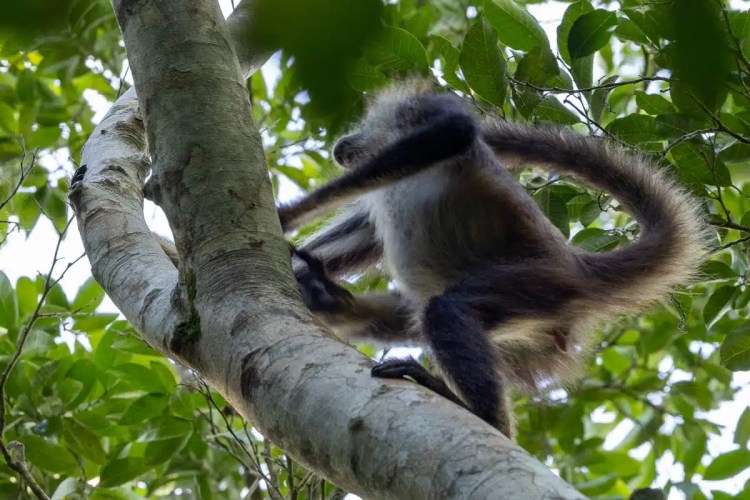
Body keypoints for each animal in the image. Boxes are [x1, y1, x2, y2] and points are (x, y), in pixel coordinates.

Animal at [278, 80, 706, 438]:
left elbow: (454, 132)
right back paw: (330, 302)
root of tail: (576, 264)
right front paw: (297, 260)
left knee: (446, 309)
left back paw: (481, 416)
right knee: (414, 312)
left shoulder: (421, 110)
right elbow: (363, 233)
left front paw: (287, 214)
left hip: (537, 282)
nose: (341, 144)